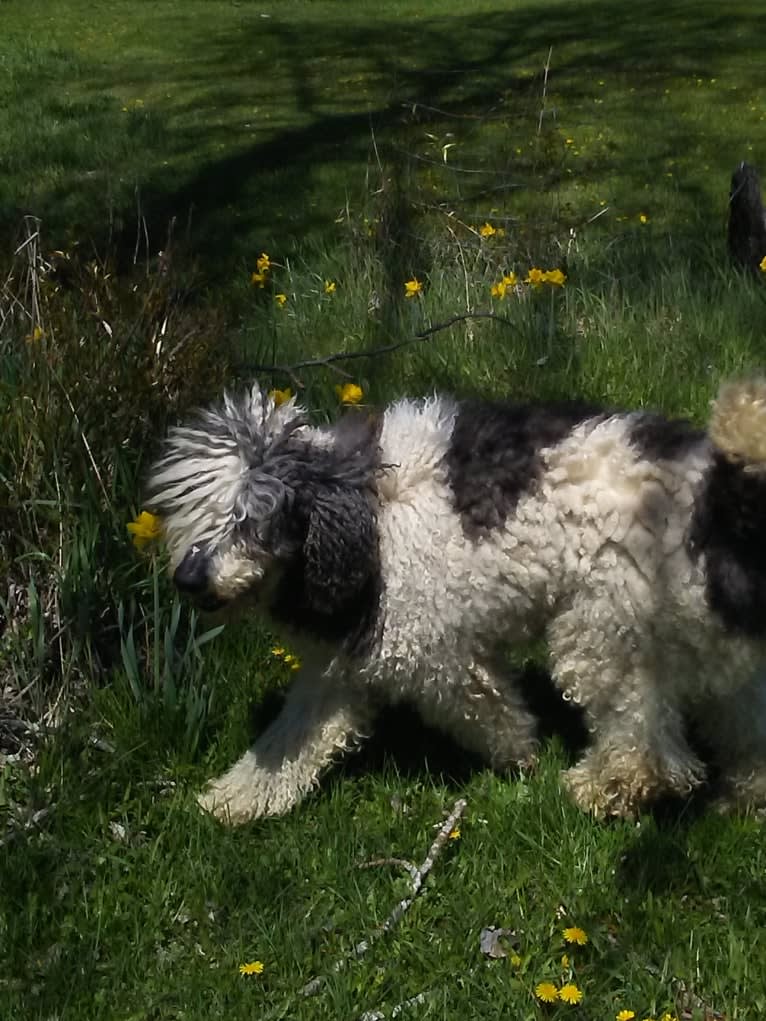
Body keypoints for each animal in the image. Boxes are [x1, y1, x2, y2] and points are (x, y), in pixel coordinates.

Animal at [145, 381, 766, 820]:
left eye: (247, 521)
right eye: (189, 517)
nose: (189, 579)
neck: (360, 519)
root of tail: (716, 493)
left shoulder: (435, 657)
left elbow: (489, 712)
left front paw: (521, 756)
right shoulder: (339, 668)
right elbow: (293, 739)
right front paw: (235, 799)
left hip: (606, 629)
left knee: (642, 744)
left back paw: (601, 789)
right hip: (705, 636)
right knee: (742, 721)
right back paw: (744, 797)